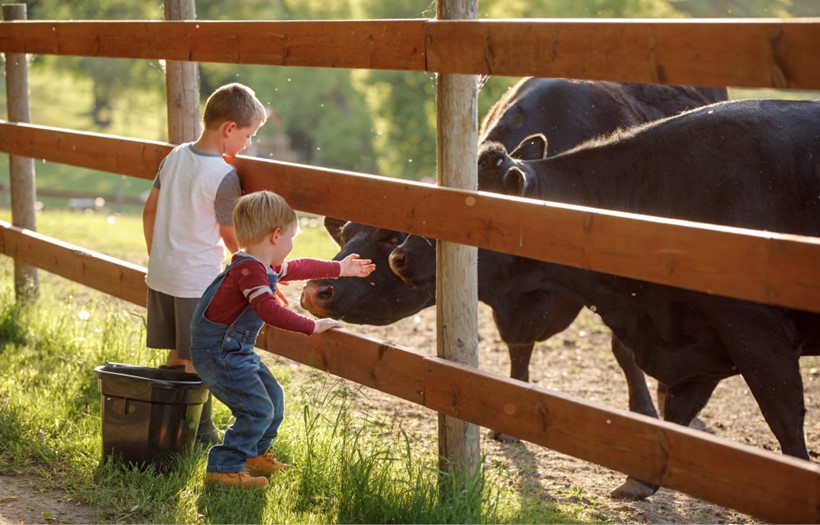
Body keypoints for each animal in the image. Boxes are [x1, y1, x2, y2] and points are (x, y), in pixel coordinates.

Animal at [389, 98, 820, 498]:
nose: (400, 256)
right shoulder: (699, 344)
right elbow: (678, 413)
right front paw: (643, 478)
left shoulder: (755, 334)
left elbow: (783, 417)